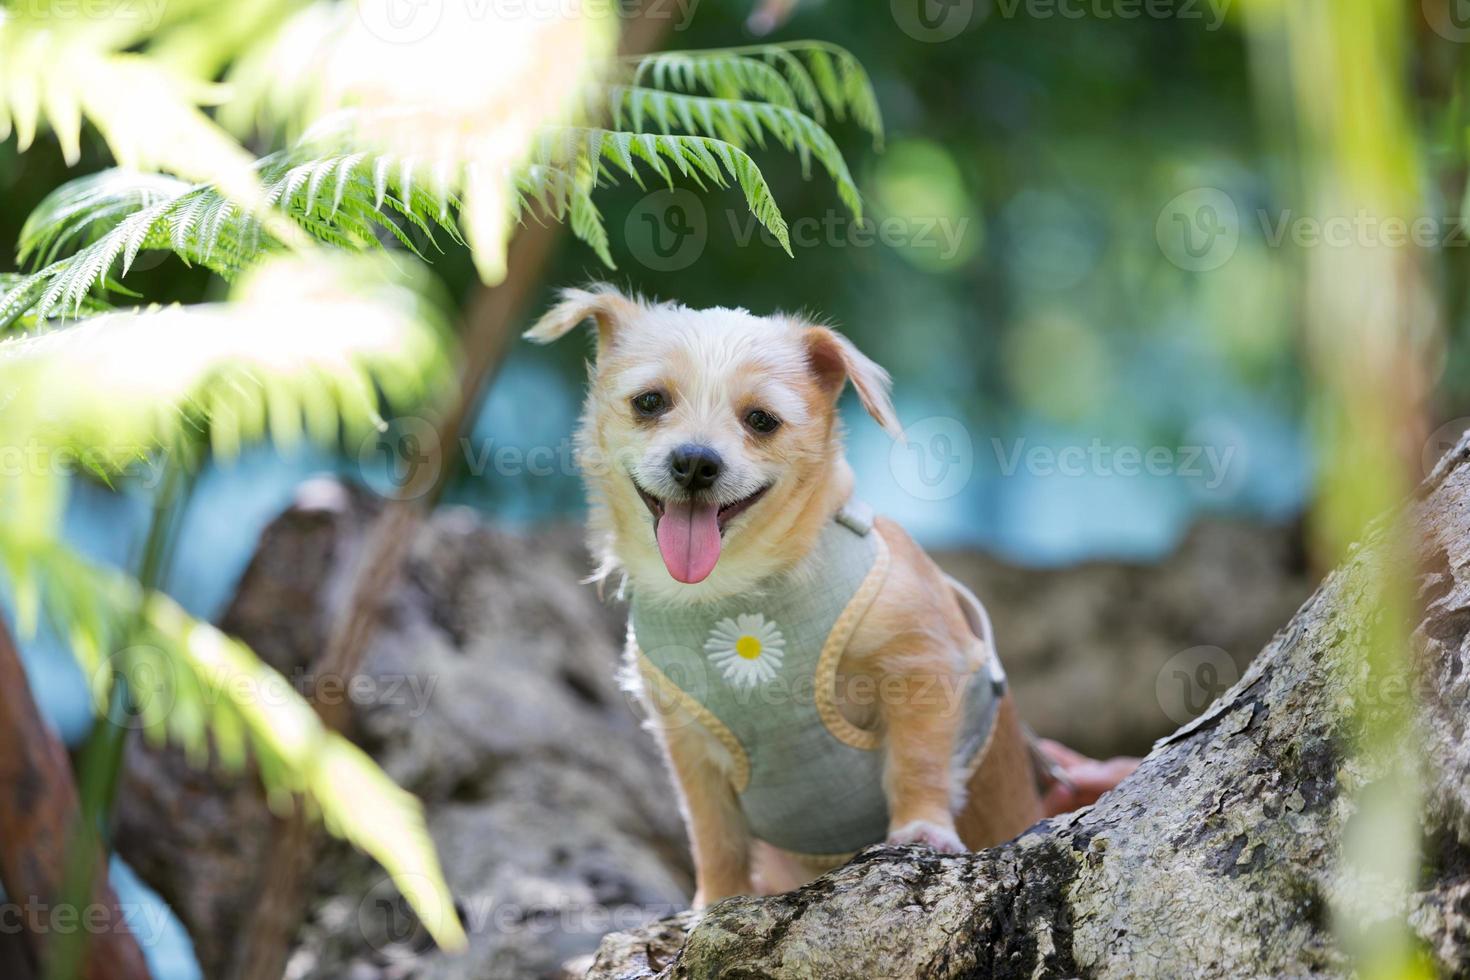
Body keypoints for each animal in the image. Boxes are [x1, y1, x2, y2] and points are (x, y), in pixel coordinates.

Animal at [529, 287, 1046, 910]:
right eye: (650, 402)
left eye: (761, 420)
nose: (696, 461)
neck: (734, 594)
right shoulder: (687, 743)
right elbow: (713, 833)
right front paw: (714, 902)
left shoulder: (921, 664)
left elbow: (917, 760)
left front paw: (922, 829)